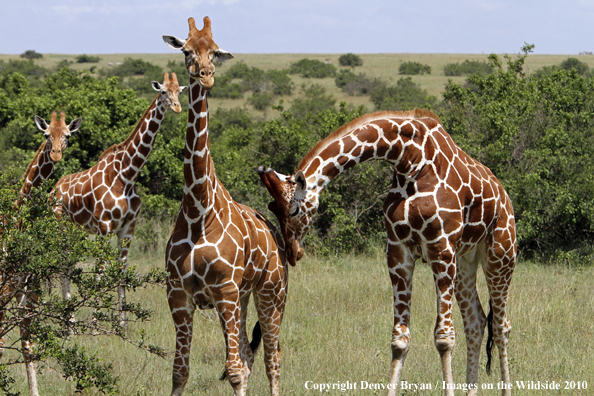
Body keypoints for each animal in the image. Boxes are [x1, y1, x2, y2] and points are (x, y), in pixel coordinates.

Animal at [54, 73, 186, 324]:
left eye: (179, 91)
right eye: (163, 91)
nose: (177, 107)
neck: (126, 175)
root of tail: (51, 190)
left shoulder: (127, 229)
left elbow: (121, 275)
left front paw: (122, 326)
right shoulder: (104, 227)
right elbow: (100, 274)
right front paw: (95, 325)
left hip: (75, 229)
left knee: (67, 266)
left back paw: (69, 319)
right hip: (61, 226)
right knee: (62, 266)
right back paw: (70, 320)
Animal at [162, 16, 290, 396]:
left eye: (216, 51)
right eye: (186, 50)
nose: (206, 75)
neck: (198, 211)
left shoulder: (224, 291)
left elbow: (233, 370)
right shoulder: (179, 295)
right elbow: (180, 371)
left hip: (270, 293)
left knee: (271, 358)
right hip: (244, 298)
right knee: (248, 357)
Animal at [256, 108, 516, 396]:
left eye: (294, 210)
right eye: (273, 208)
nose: (293, 252)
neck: (409, 162)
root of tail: (505, 197)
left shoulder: (441, 247)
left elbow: (444, 337)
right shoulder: (398, 252)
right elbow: (400, 339)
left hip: (500, 253)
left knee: (501, 325)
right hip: (465, 261)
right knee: (476, 322)